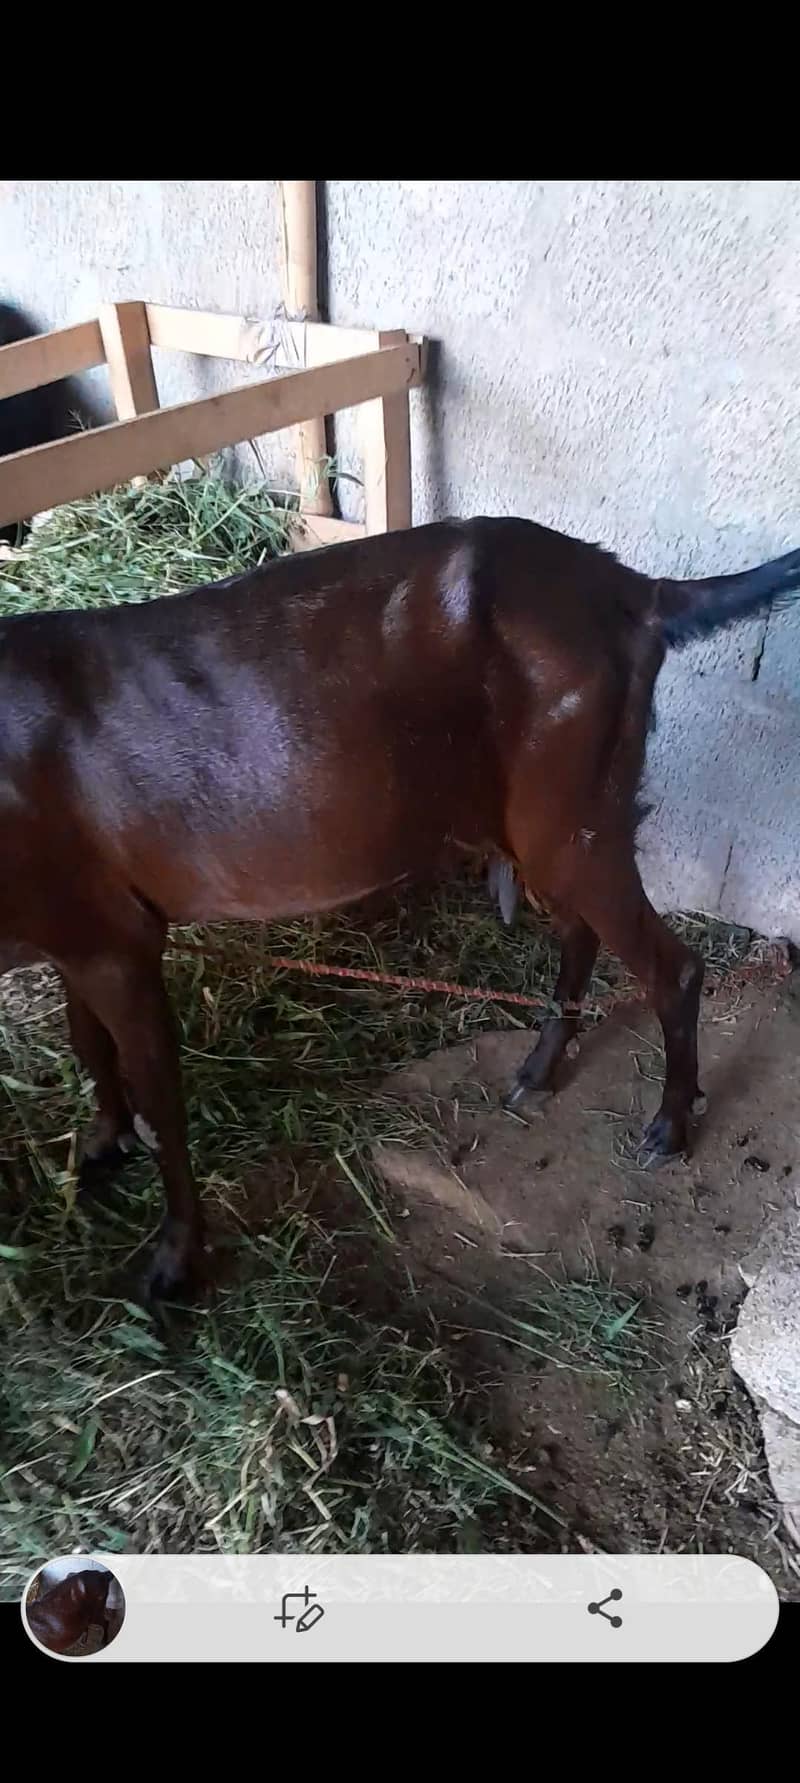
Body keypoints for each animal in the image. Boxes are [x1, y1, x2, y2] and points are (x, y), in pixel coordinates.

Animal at [1, 516, 798, 1297]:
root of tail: (636, 592)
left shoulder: (117, 939)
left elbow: (159, 1095)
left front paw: (173, 1258)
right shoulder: (75, 928)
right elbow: (86, 1040)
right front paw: (101, 1143)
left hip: (574, 807)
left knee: (672, 965)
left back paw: (668, 1128)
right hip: (541, 817)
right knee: (581, 930)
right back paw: (537, 1071)